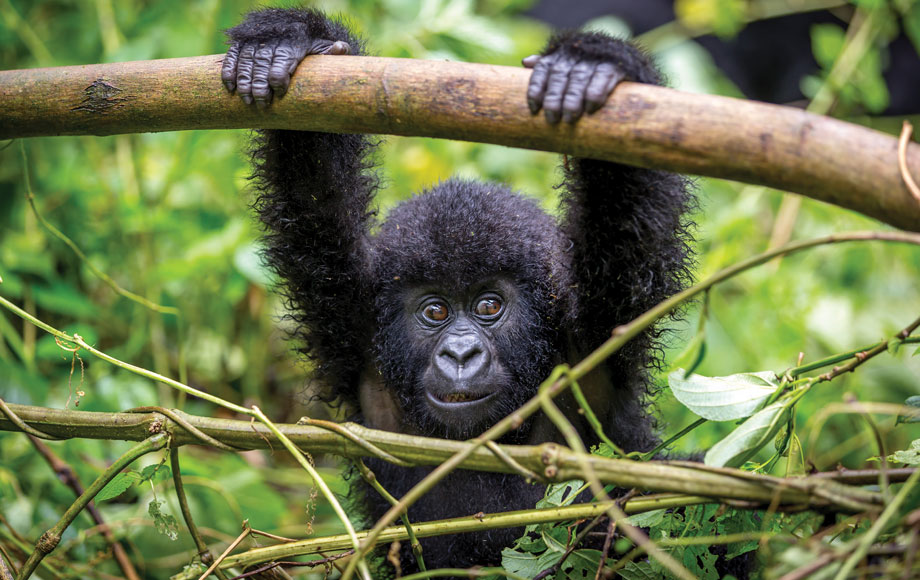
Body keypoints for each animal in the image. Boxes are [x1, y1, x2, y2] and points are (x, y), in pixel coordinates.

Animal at [225, 5, 688, 572]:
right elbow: (314, 194)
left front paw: (593, 64)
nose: (462, 353)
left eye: (489, 305)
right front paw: (286, 42)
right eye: (435, 312)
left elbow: (626, 215)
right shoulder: (354, 322)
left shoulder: (597, 333)